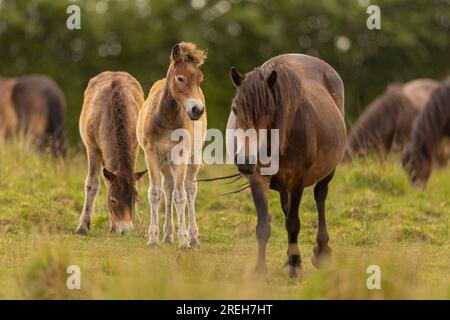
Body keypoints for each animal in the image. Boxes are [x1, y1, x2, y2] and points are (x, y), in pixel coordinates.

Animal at [77, 70, 147, 235]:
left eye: (135, 199)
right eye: (113, 200)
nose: (126, 230)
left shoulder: (135, 146)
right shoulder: (92, 147)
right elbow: (92, 183)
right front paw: (83, 226)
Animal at [137, 42, 207, 248]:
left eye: (200, 80)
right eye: (180, 78)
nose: (197, 110)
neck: (166, 118)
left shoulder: (181, 154)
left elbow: (180, 195)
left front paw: (183, 241)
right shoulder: (151, 154)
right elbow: (155, 193)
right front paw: (153, 239)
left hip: (193, 157)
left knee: (190, 188)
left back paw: (193, 237)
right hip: (164, 162)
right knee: (167, 188)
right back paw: (167, 235)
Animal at [227, 54, 346, 278]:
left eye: (267, 110)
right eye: (235, 109)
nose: (245, 161)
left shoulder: (297, 179)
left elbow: (293, 223)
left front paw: (294, 266)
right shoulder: (257, 177)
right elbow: (263, 226)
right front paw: (260, 270)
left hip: (327, 171)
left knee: (320, 196)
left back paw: (321, 251)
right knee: (287, 206)